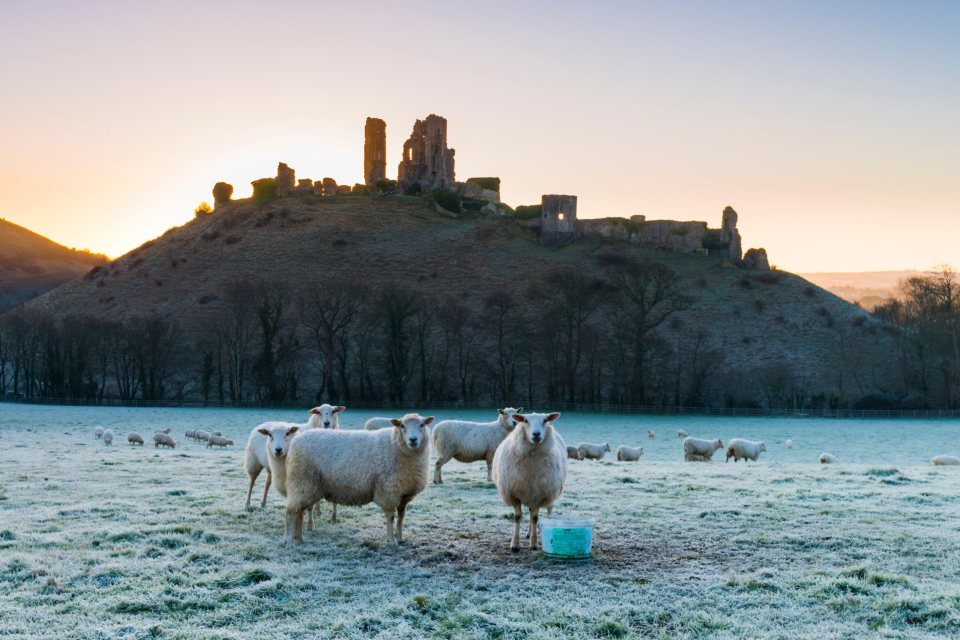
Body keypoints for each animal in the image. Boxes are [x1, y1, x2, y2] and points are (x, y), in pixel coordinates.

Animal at [284, 412, 434, 548]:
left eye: (422, 424)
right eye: (402, 426)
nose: (413, 440)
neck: (396, 445)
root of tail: (296, 440)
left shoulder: (404, 495)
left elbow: (401, 517)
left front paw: (400, 538)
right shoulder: (388, 491)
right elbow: (391, 517)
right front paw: (392, 541)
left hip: (305, 487)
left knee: (299, 512)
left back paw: (299, 539)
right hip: (302, 482)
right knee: (291, 511)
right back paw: (289, 540)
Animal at [492, 412, 568, 552]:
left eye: (545, 420)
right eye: (525, 420)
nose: (536, 434)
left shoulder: (539, 494)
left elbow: (535, 518)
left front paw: (533, 544)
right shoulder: (514, 494)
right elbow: (518, 517)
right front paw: (515, 544)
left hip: (549, 491)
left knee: (546, 510)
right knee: (530, 511)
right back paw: (528, 533)